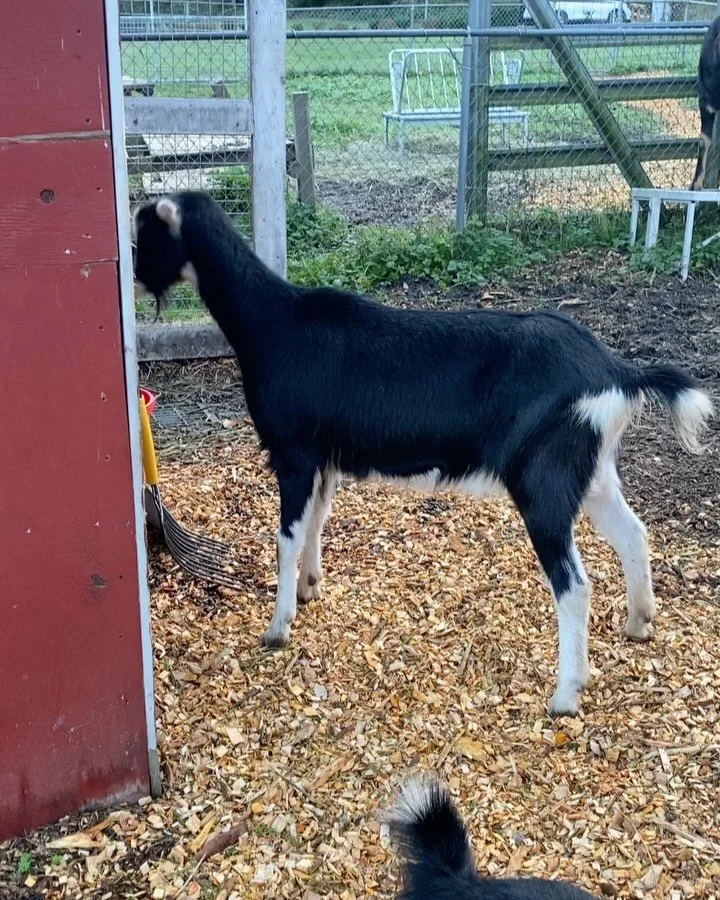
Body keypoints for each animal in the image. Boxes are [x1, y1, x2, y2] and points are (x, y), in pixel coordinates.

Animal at [132, 191, 713, 717]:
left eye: (146, 235)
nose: (134, 277)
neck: (274, 323)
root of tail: (615, 370)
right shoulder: (325, 457)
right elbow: (318, 519)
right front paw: (310, 587)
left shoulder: (293, 453)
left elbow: (287, 536)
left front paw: (277, 627)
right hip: (590, 470)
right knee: (632, 534)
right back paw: (638, 622)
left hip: (543, 480)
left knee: (574, 585)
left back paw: (566, 696)